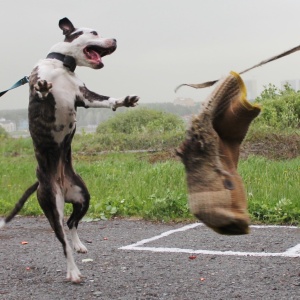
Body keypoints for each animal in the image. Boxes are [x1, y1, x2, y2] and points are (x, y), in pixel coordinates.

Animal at [0, 17, 139, 284]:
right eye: (93, 32)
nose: (115, 39)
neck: (63, 66)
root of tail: (51, 182)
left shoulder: (84, 96)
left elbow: (106, 99)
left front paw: (123, 100)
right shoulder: (40, 88)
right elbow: (41, 89)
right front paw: (44, 87)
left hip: (83, 197)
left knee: (72, 223)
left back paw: (78, 245)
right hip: (52, 205)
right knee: (62, 239)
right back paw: (72, 270)